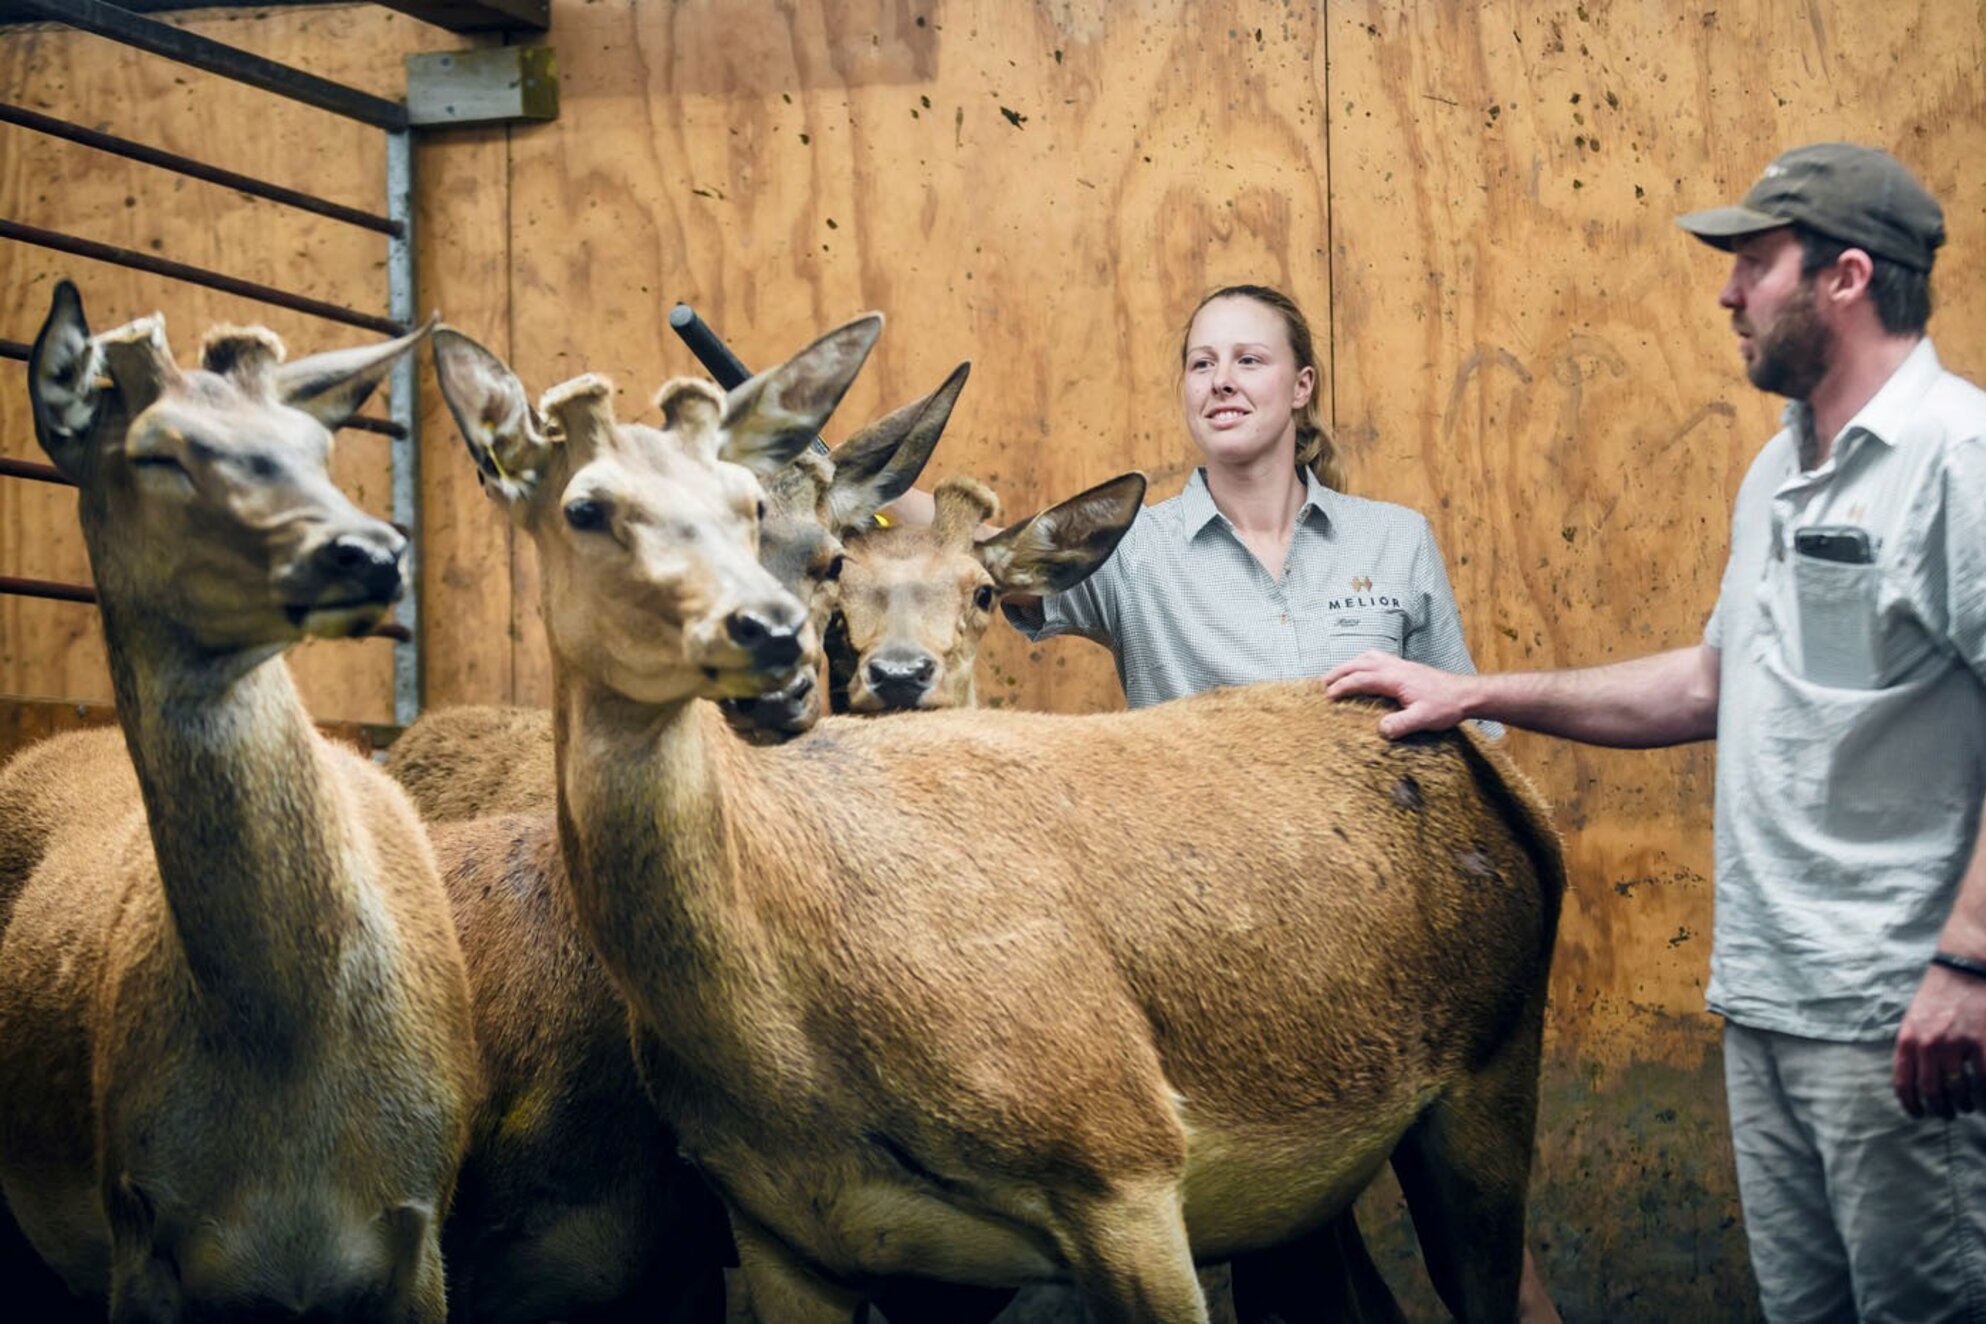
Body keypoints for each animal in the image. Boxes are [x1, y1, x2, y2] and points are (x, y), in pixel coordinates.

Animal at [431, 313, 1565, 1324]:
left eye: (812, 546)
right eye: (582, 509)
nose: (773, 653)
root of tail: (1498, 776)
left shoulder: (1123, 1158)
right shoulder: (784, 1234)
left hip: (1493, 1070)